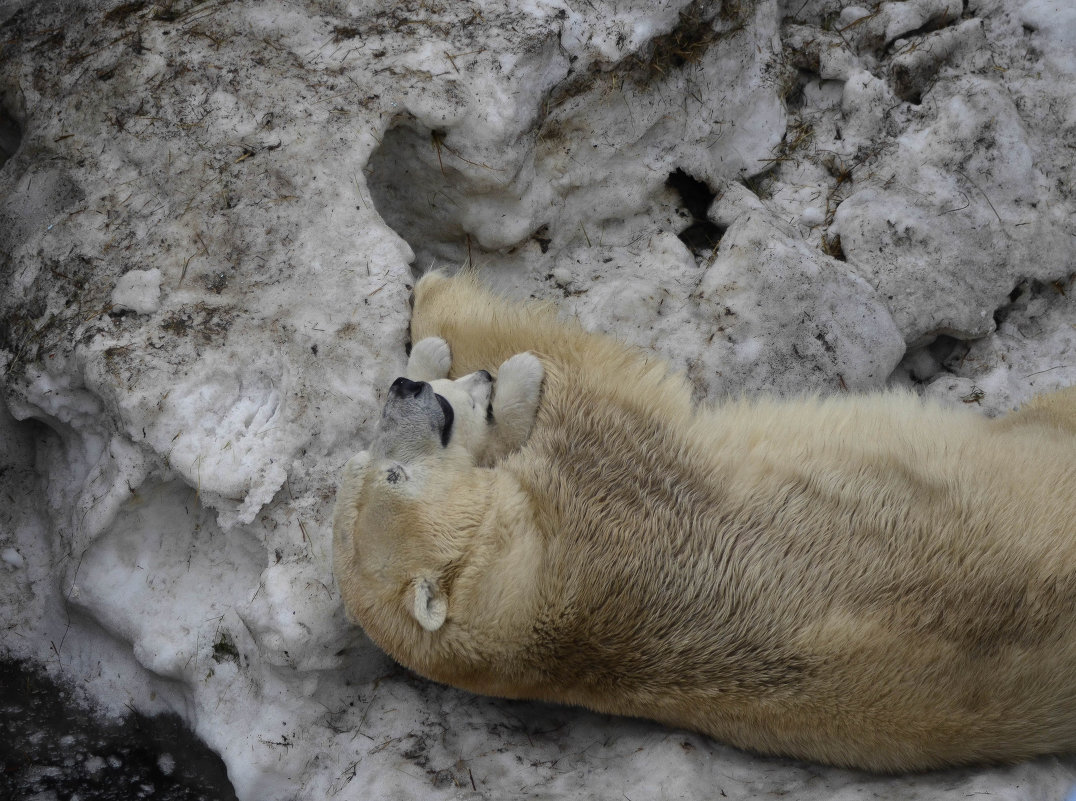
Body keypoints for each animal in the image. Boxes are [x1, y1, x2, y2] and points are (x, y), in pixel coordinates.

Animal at [331, 272, 1076, 770]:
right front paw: (464, 325)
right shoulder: (603, 494)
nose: (409, 393)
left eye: (374, 467)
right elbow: (577, 372)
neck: (535, 607)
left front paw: (431, 349)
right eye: (392, 475)